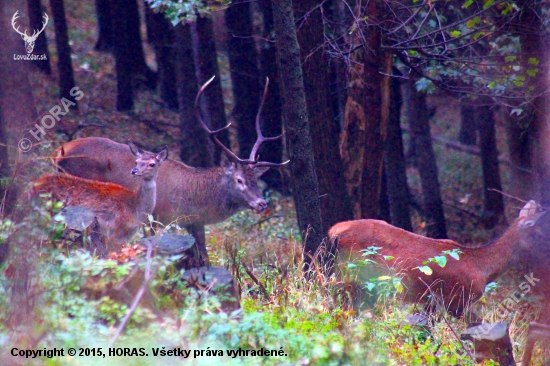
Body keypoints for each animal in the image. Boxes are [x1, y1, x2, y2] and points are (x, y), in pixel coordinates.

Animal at [30, 142, 168, 250]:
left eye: (152, 164)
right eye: (137, 161)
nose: (134, 170)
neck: (135, 210)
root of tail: (32, 187)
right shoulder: (115, 233)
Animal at [55, 77, 288, 264]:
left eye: (255, 180)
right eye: (239, 180)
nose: (262, 203)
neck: (194, 197)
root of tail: (58, 153)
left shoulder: (194, 222)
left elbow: (204, 257)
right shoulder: (156, 216)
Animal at [330, 200, 544, 324]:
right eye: (542, 232)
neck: (481, 269)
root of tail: (335, 231)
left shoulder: (432, 302)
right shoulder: (454, 300)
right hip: (355, 275)